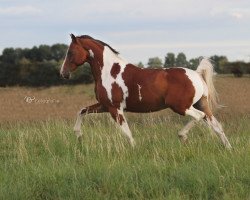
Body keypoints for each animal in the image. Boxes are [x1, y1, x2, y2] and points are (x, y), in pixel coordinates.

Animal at [60, 34, 232, 148]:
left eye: (70, 52)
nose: (63, 73)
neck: (109, 71)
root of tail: (196, 74)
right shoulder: (104, 105)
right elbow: (82, 111)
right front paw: (78, 134)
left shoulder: (115, 108)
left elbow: (126, 132)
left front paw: (134, 148)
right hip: (200, 104)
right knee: (216, 126)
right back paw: (228, 149)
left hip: (181, 107)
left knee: (199, 117)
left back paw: (182, 136)